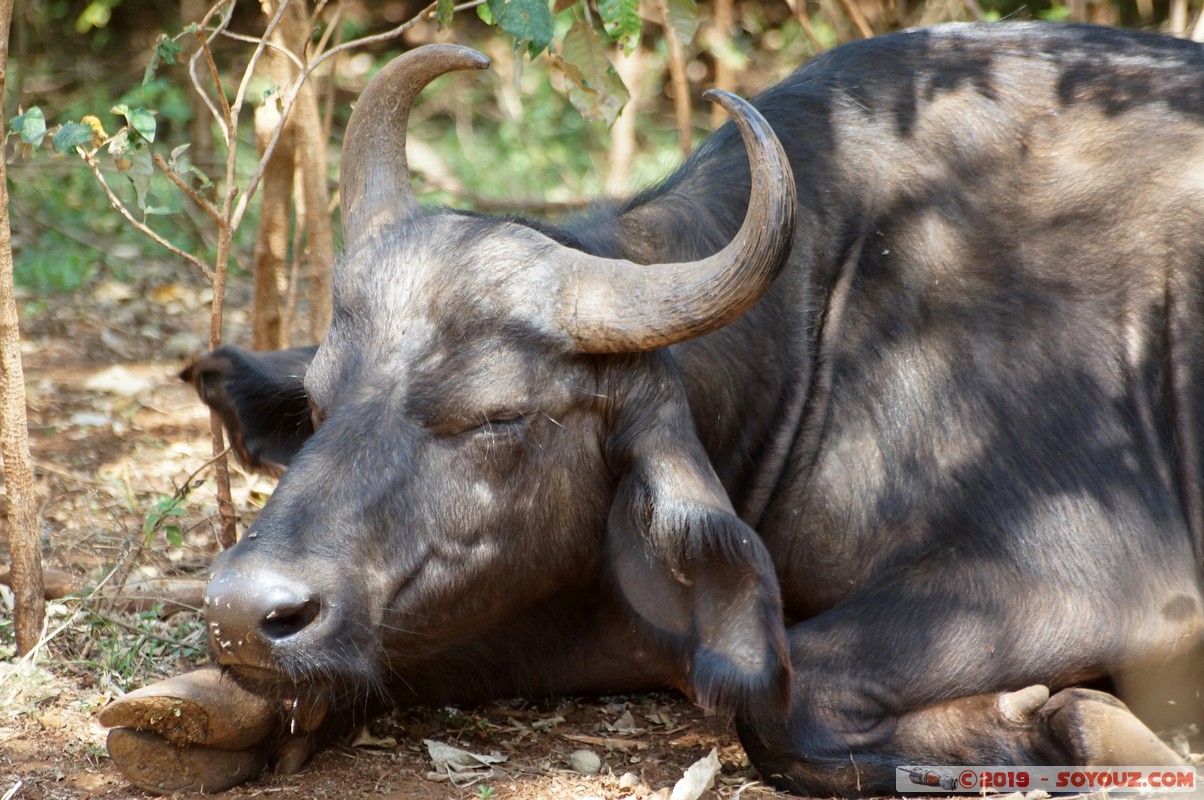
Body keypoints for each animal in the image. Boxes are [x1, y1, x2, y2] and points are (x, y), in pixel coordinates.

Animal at [101, 21, 1204, 795]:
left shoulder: (1085, 576)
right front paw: (197, 704)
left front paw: (1069, 719)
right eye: (322, 402)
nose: (247, 610)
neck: (830, 317)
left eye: (499, 416)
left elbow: (788, 701)